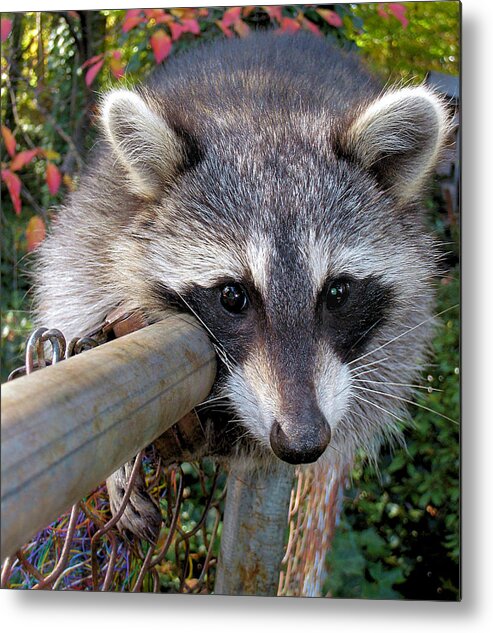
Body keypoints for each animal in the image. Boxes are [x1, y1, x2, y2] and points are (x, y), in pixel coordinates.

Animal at [34, 33, 450, 540]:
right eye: (234, 296)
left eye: (337, 293)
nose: (302, 441)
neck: (265, 116)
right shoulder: (101, 216)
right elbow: (73, 295)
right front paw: (119, 468)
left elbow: (387, 365)